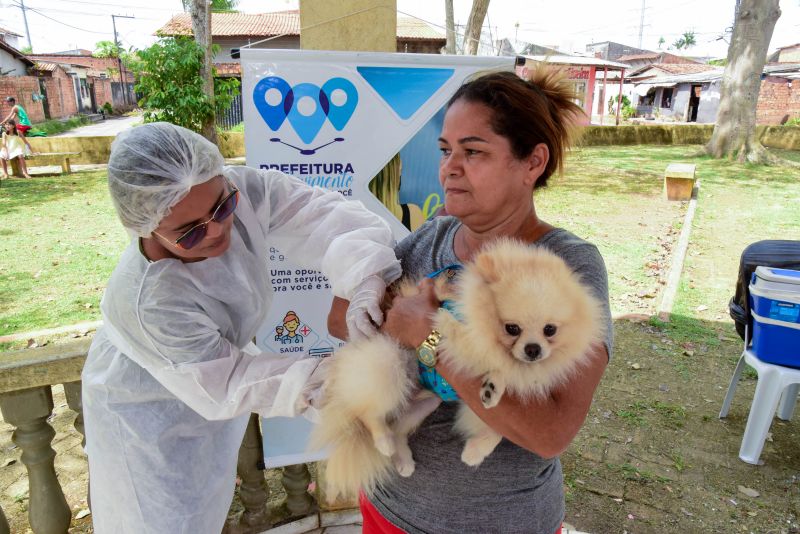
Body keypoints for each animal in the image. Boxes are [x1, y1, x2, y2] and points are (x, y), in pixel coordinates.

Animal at [310, 241, 604, 500]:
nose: (533, 349)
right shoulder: (467, 338)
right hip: (387, 361)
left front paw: (477, 443)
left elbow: (497, 425)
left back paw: (401, 457)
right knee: (369, 413)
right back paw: (383, 440)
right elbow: (475, 347)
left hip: (425, 402)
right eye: (512, 328)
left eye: (550, 330)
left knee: (398, 428)